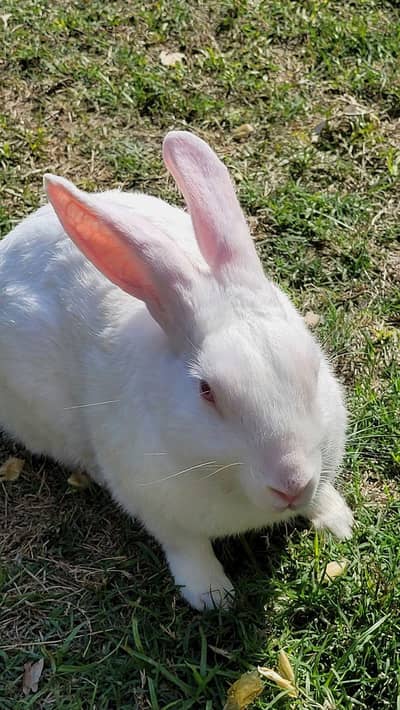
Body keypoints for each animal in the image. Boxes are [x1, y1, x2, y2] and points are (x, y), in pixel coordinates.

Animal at [0, 131, 353, 610]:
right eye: (206, 391)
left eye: (314, 368)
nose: (292, 483)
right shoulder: (159, 508)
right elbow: (186, 547)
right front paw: (212, 596)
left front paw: (338, 521)